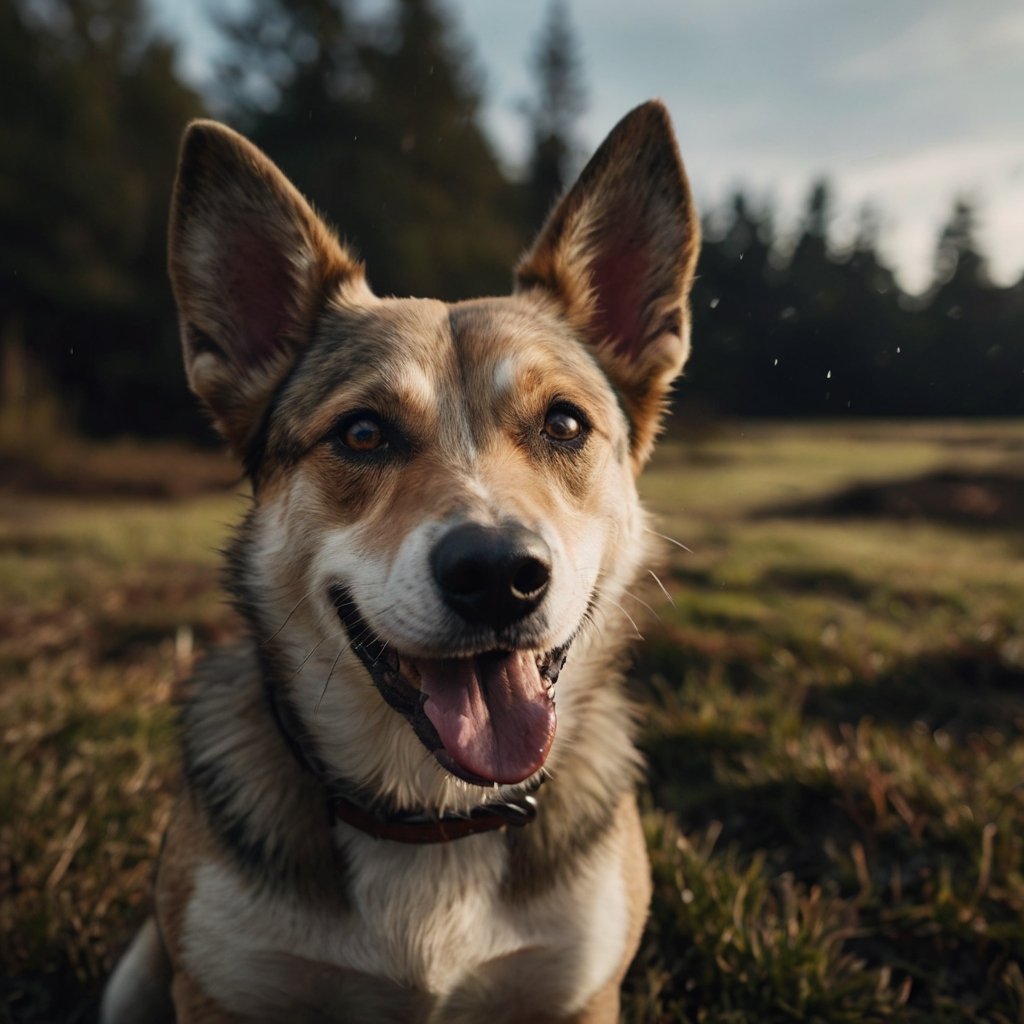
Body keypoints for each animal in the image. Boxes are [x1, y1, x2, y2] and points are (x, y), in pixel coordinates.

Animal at [101, 97, 696, 1024]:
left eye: (564, 423)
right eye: (362, 433)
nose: (498, 576)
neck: (434, 817)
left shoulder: (582, 993)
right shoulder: (217, 990)